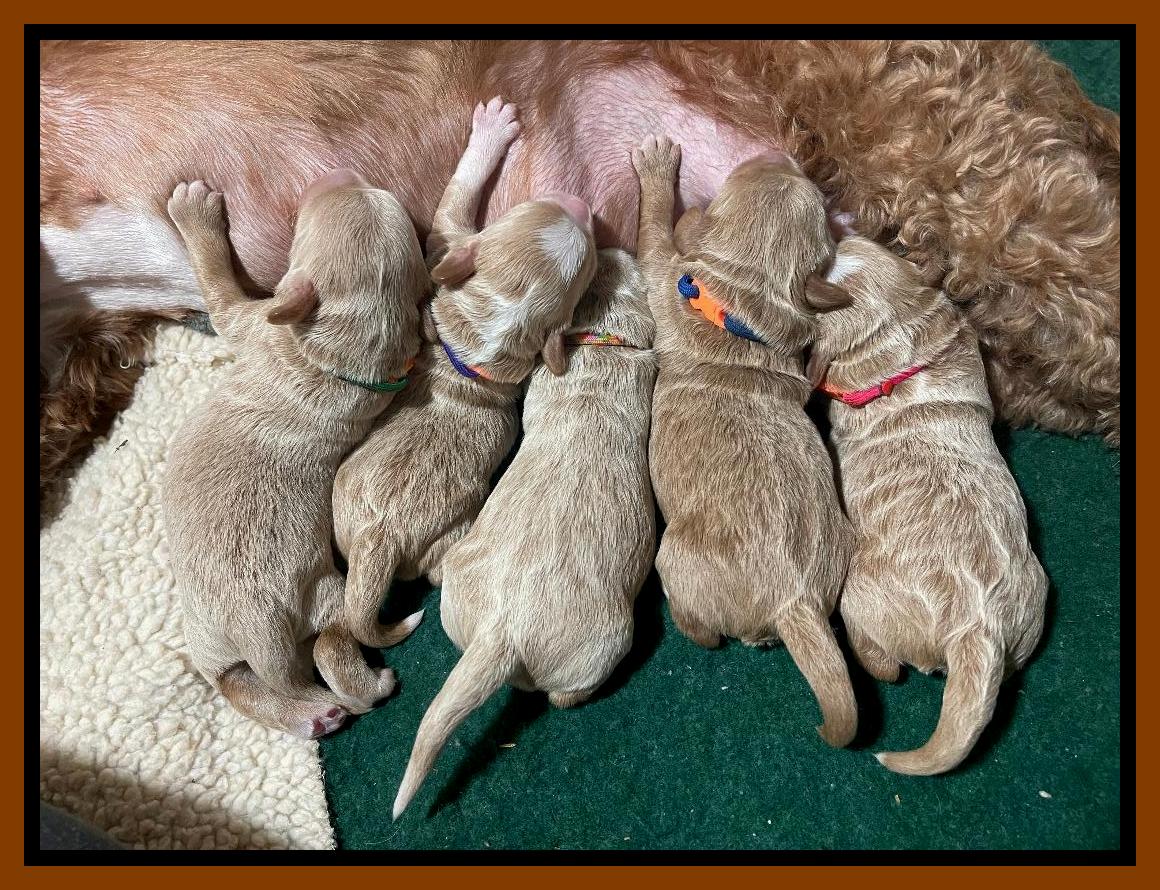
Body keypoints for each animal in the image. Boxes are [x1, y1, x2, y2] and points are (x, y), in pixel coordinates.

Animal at [162, 171, 428, 737]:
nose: (340, 173)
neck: (342, 356)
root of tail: (260, 630)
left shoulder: (249, 319)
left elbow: (218, 293)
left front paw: (194, 214)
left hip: (232, 621)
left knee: (247, 680)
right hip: (317, 600)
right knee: (315, 653)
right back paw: (322, 711)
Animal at [315, 98, 598, 705]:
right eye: (537, 208)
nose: (581, 204)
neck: (487, 331)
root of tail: (380, 537)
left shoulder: (451, 245)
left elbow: (453, 197)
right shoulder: (449, 245)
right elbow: (452, 204)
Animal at [391, 248, 657, 818]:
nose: (613, 248)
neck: (596, 345)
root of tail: (501, 632)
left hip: (459, 596)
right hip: (605, 642)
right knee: (567, 691)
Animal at [634, 134, 858, 748]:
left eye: (737, 177)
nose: (780, 152)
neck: (741, 304)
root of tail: (795, 603)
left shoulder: (662, 275)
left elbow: (655, 232)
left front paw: (658, 171)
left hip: (675, 555)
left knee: (702, 626)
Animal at [811, 235, 1049, 775]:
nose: (836, 234)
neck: (902, 355)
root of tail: (978, 632)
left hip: (859, 592)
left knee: (882, 661)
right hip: (1033, 608)